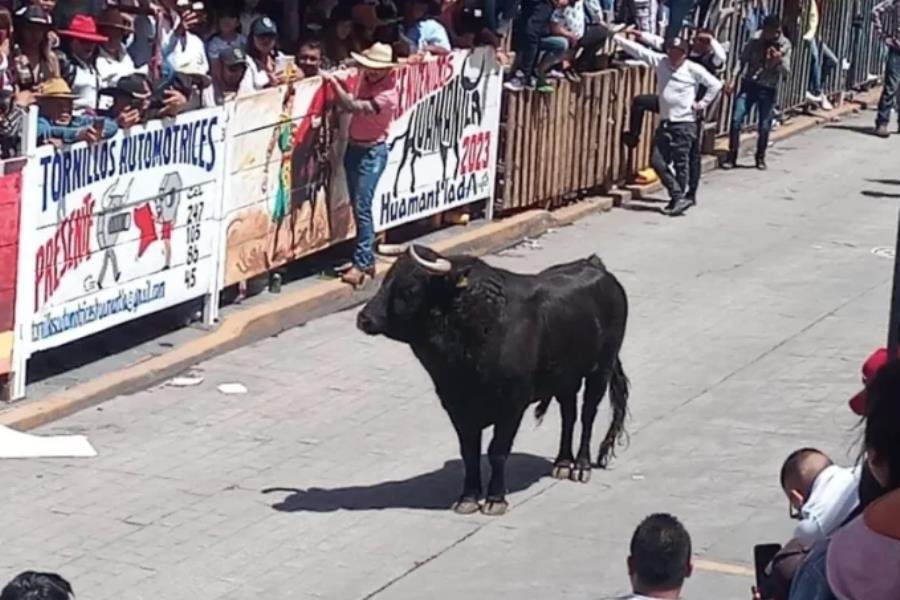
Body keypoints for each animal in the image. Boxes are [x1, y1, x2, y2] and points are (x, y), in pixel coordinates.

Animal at [356, 245, 628, 516]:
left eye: (409, 289)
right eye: (386, 279)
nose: (363, 318)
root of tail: (595, 265)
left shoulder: (512, 405)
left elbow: (497, 450)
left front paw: (495, 499)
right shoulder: (456, 406)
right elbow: (470, 452)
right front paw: (468, 498)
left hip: (601, 368)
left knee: (587, 414)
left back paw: (581, 466)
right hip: (565, 377)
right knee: (568, 413)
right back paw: (562, 463)